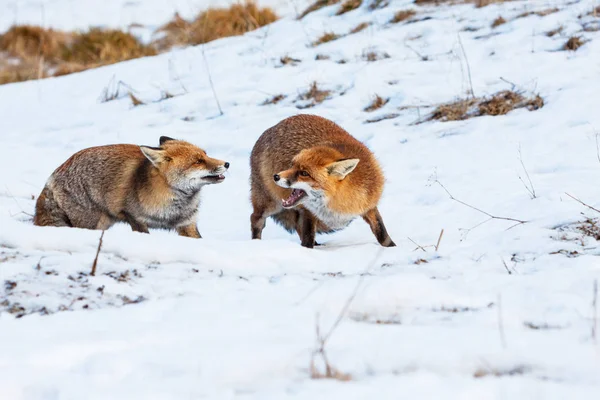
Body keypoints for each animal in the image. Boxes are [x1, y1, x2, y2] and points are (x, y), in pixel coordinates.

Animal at [34, 138, 230, 238]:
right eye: (198, 161)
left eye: (205, 154)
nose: (227, 163)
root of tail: (53, 175)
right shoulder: (134, 217)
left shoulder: (187, 223)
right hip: (93, 223)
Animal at [250, 114, 396, 248]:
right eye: (292, 165)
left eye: (304, 173)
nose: (276, 176)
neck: (335, 206)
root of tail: (271, 128)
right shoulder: (308, 212)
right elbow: (308, 235)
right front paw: (307, 251)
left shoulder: (368, 205)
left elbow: (382, 232)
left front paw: (392, 248)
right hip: (270, 204)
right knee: (255, 219)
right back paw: (255, 244)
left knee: (296, 225)